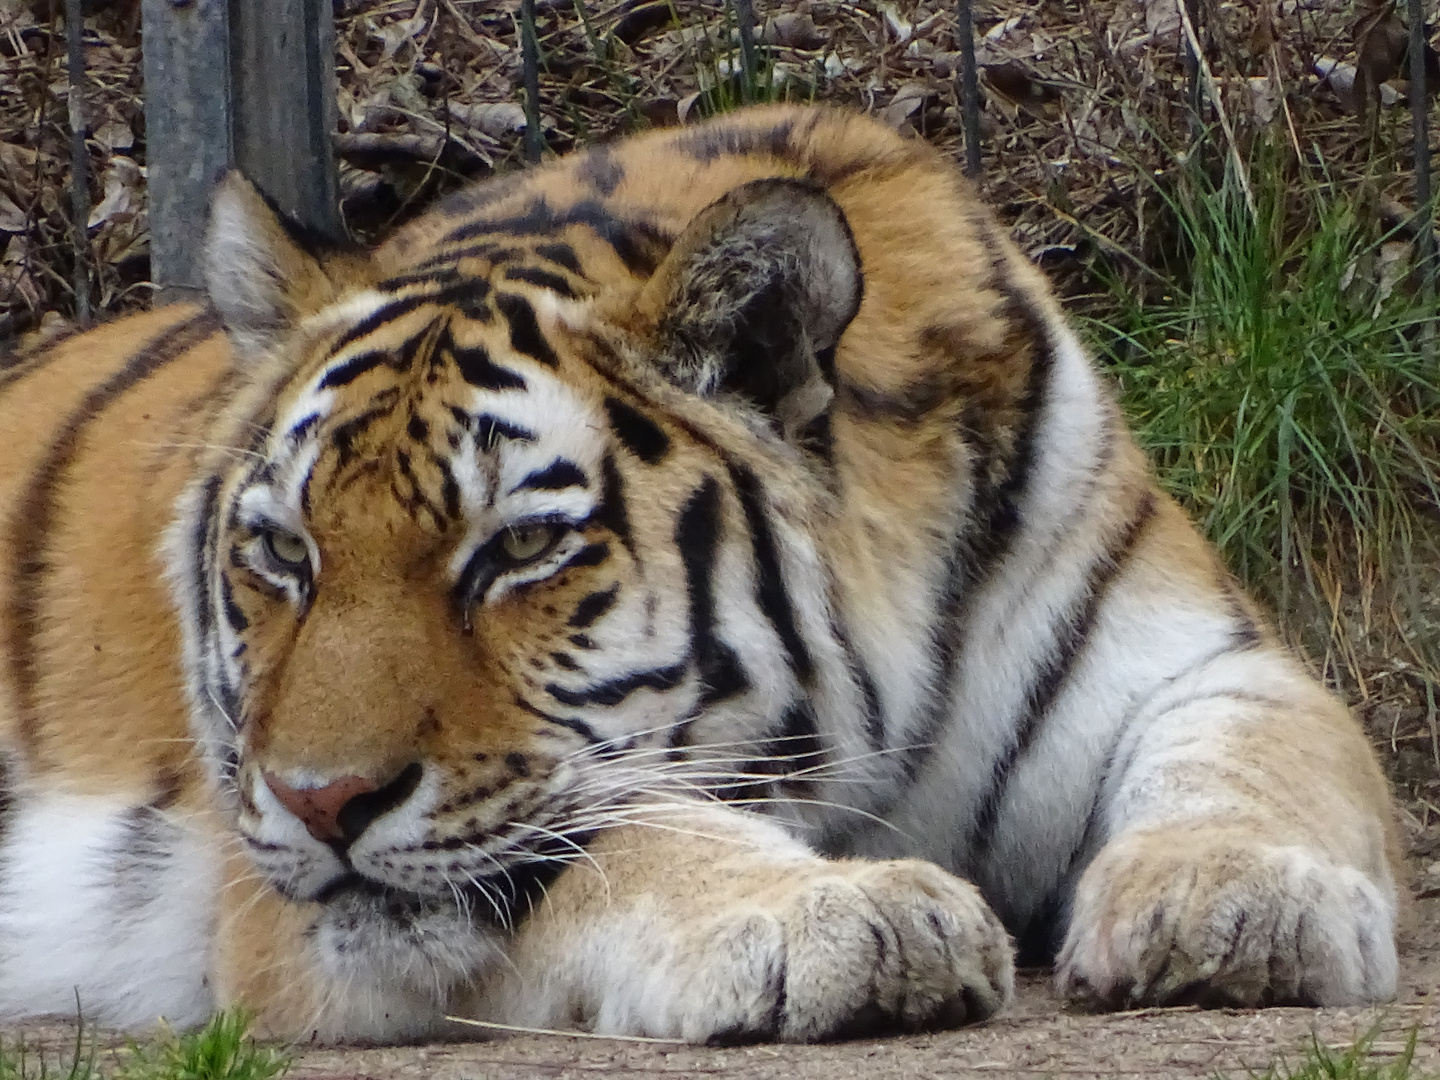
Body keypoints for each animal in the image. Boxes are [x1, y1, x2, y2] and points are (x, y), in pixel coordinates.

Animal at [0, 105, 1399, 1042]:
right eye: (286, 554)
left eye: (519, 549)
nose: (319, 803)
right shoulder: (283, 894)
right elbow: (631, 834)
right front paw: (844, 920)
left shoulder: (1203, 658)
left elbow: (1253, 762)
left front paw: (1232, 904)